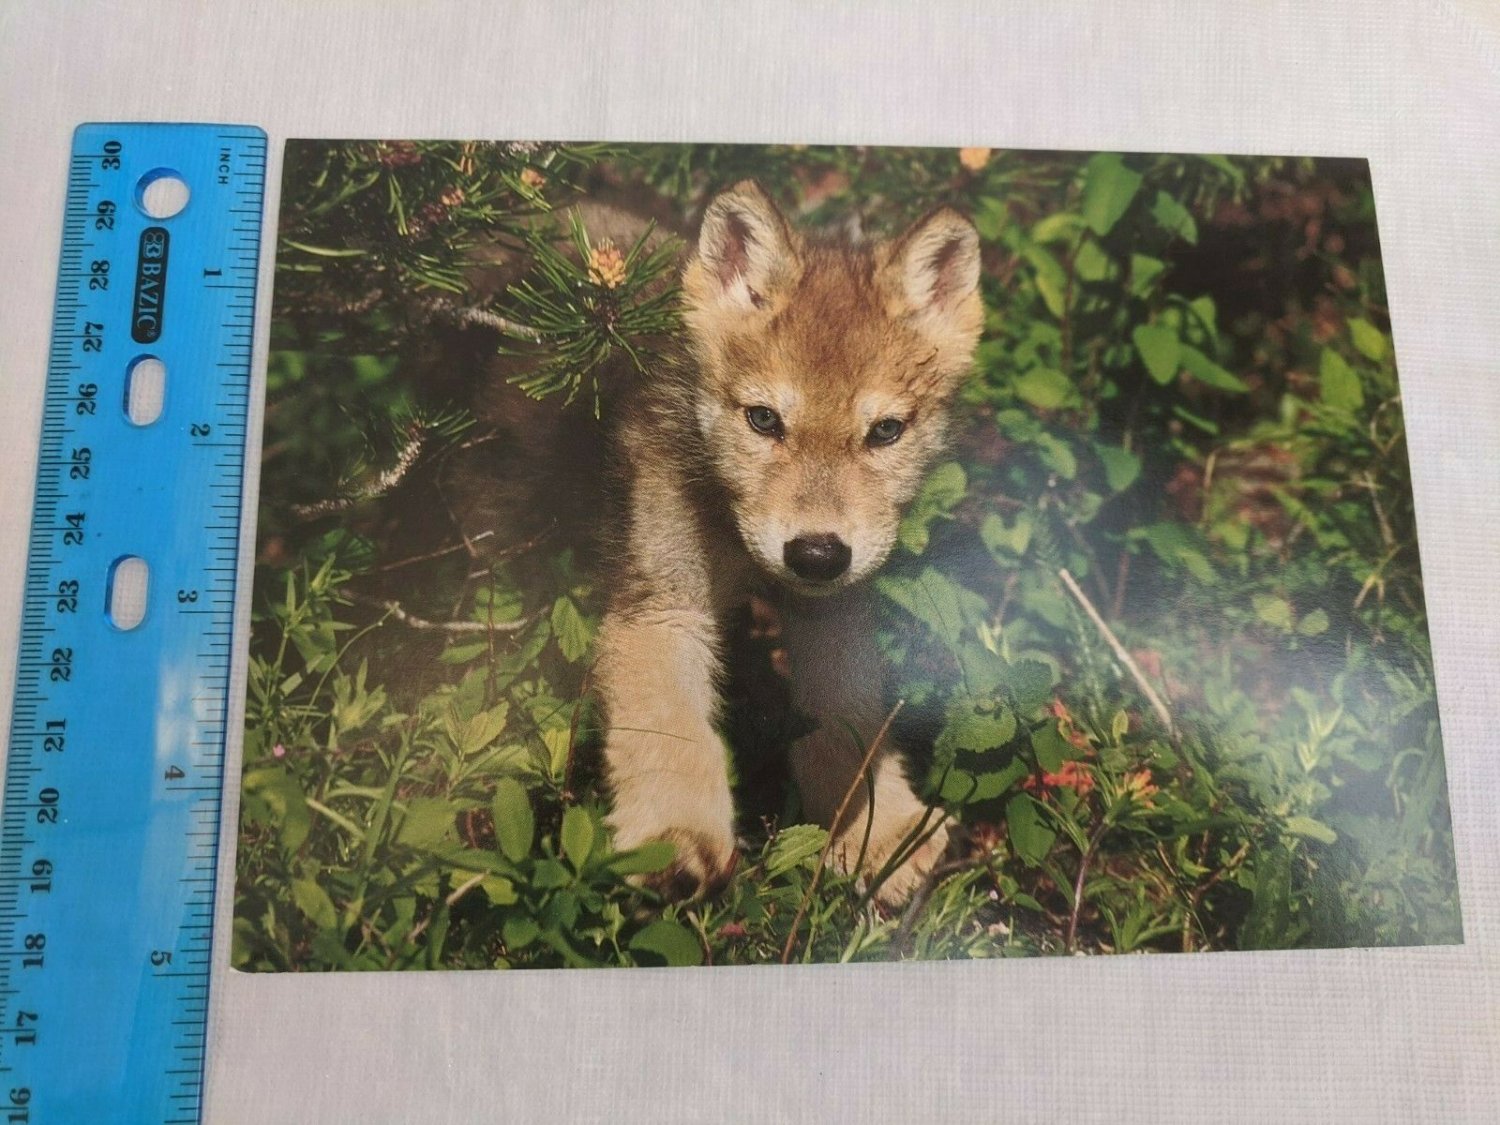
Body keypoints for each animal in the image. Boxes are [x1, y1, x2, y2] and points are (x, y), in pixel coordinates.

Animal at [594, 181, 983, 905]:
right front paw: (673, 839)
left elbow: (847, 729)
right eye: (764, 420)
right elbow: (672, 729)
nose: (816, 555)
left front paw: (881, 833)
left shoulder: (832, 615)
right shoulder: (664, 606)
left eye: (885, 431)